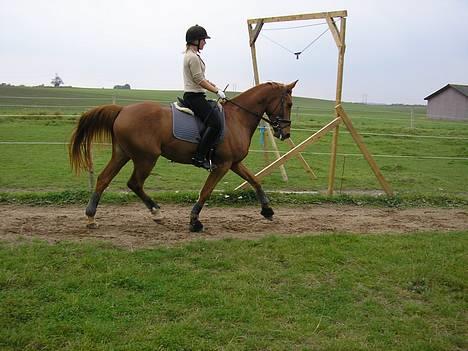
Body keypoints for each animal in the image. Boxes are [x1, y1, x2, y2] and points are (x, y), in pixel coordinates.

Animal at [68, 81, 296, 232]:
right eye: (289, 104)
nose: (285, 134)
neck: (237, 118)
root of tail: (122, 110)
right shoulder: (222, 165)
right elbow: (206, 191)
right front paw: (194, 221)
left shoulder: (234, 163)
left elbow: (255, 180)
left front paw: (267, 210)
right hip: (146, 158)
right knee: (134, 183)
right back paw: (156, 213)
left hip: (122, 154)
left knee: (103, 179)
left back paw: (91, 217)